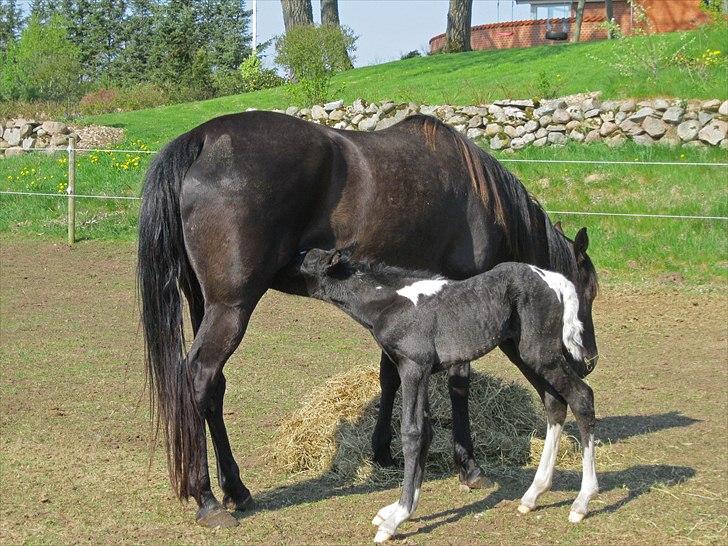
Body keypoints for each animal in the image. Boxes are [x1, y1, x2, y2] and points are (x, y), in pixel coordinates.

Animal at [296, 246, 596, 540]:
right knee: (554, 403)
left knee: (582, 397)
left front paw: (396, 518)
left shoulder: (413, 367)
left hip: (541, 354)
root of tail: (557, 281)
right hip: (521, 352)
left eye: (309, 260)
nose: (297, 259)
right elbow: (426, 431)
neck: (391, 303)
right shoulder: (424, 372)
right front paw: (403, 509)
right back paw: (533, 495)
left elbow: (412, 434)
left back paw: (581, 503)